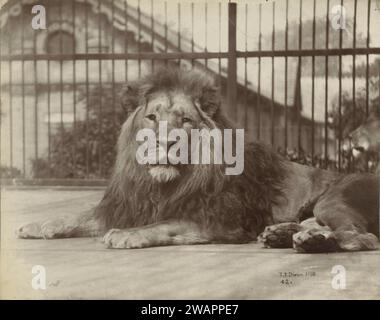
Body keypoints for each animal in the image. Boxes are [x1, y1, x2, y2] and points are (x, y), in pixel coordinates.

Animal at [15, 67, 380, 252]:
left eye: (186, 120)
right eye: (152, 117)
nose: (164, 141)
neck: (162, 186)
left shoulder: (221, 220)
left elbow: (166, 223)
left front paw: (127, 234)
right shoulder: (126, 205)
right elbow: (77, 216)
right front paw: (39, 225)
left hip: (335, 197)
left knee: (361, 239)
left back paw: (313, 241)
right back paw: (286, 235)